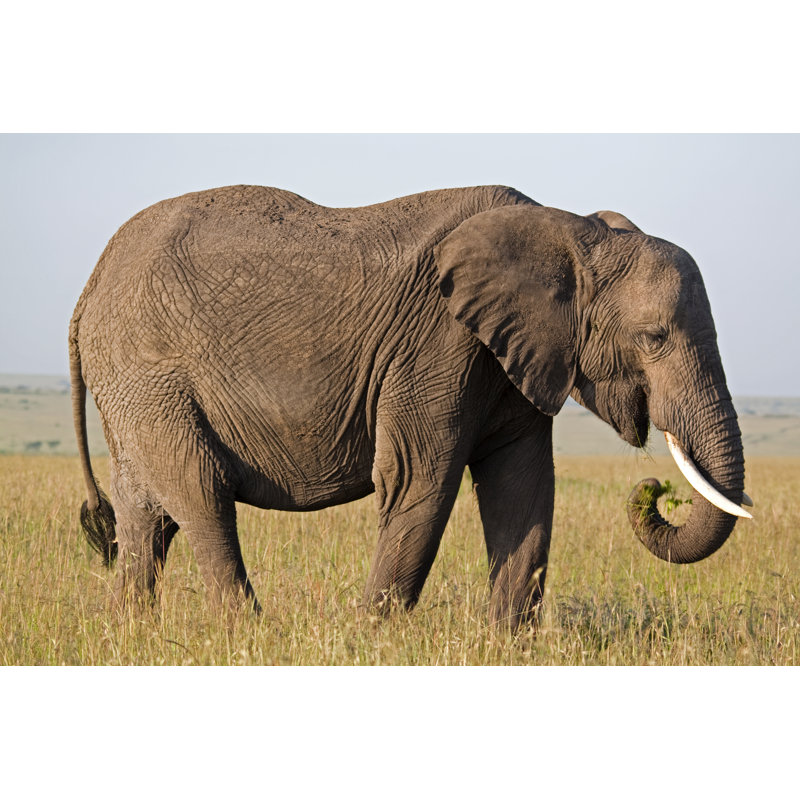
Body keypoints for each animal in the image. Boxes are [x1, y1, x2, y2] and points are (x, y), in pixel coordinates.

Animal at [70, 184, 752, 629]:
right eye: (654, 338)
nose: (655, 490)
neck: (570, 231)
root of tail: (87, 290)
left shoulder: (515, 353)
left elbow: (523, 487)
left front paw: (507, 646)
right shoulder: (438, 342)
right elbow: (420, 477)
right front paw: (373, 640)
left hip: (131, 384)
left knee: (146, 513)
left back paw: (127, 633)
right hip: (149, 371)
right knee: (200, 491)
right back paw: (247, 636)